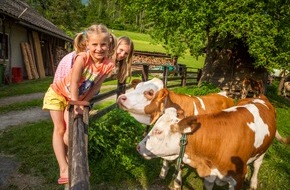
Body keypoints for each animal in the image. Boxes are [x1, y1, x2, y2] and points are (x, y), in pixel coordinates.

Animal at [137, 95, 288, 189]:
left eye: (158, 131)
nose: (138, 147)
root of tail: (260, 97)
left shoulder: (237, 178)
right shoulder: (210, 176)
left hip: (263, 150)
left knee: (257, 165)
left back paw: (253, 183)